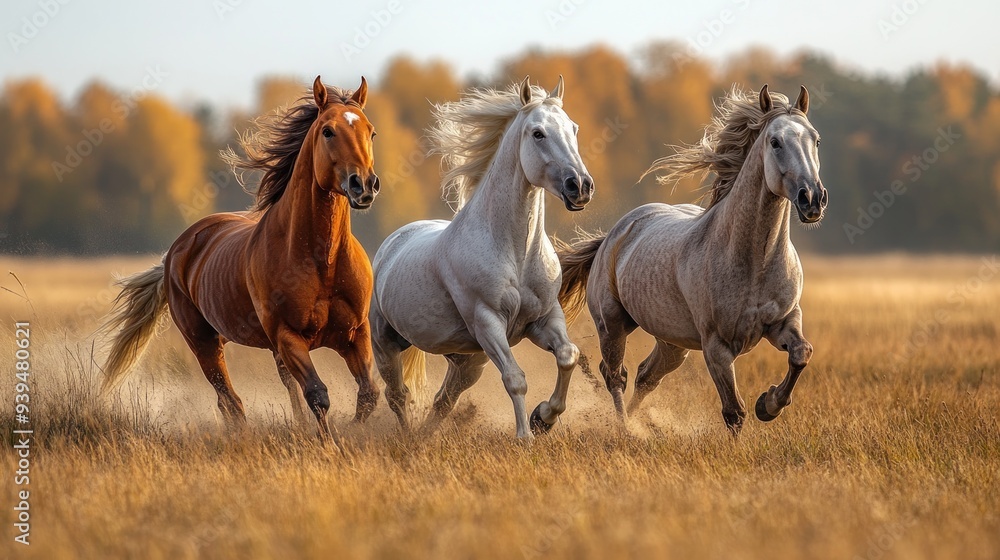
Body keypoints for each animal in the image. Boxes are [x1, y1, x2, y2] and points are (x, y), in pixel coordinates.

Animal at [100, 76, 381, 438]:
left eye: (371, 132)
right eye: (328, 131)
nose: (364, 185)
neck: (323, 261)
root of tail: (177, 250)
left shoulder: (354, 333)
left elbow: (369, 394)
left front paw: (348, 431)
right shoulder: (289, 337)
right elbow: (318, 394)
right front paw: (330, 441)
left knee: (264, 394)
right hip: (204, 342)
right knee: (230, 401)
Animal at [369, 76, 595, 440]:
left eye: (573, 128)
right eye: (537, 133)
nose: (580, 187)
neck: (516, 253)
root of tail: (393, 241)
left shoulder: (544, 318)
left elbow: (567, 355)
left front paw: (543, 418)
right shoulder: (488, 321)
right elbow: (515, 379)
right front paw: (525, 436)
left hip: (467, 360)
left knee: (443, 399)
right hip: (385, 342)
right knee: (397, 395)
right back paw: (407, 437)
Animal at [557, 85, 826, 434]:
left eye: (815, 140)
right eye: (775, 142)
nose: (813, 199)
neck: (756, 262)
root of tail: (613, 235)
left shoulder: (785, 320)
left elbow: (801, 353)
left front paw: (769, 404)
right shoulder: (716, 346)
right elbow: (734, 412)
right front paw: (759, 410)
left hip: (673, 342)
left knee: (645, 377)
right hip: (612, 325)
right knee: (615, 375)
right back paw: (626, 429)